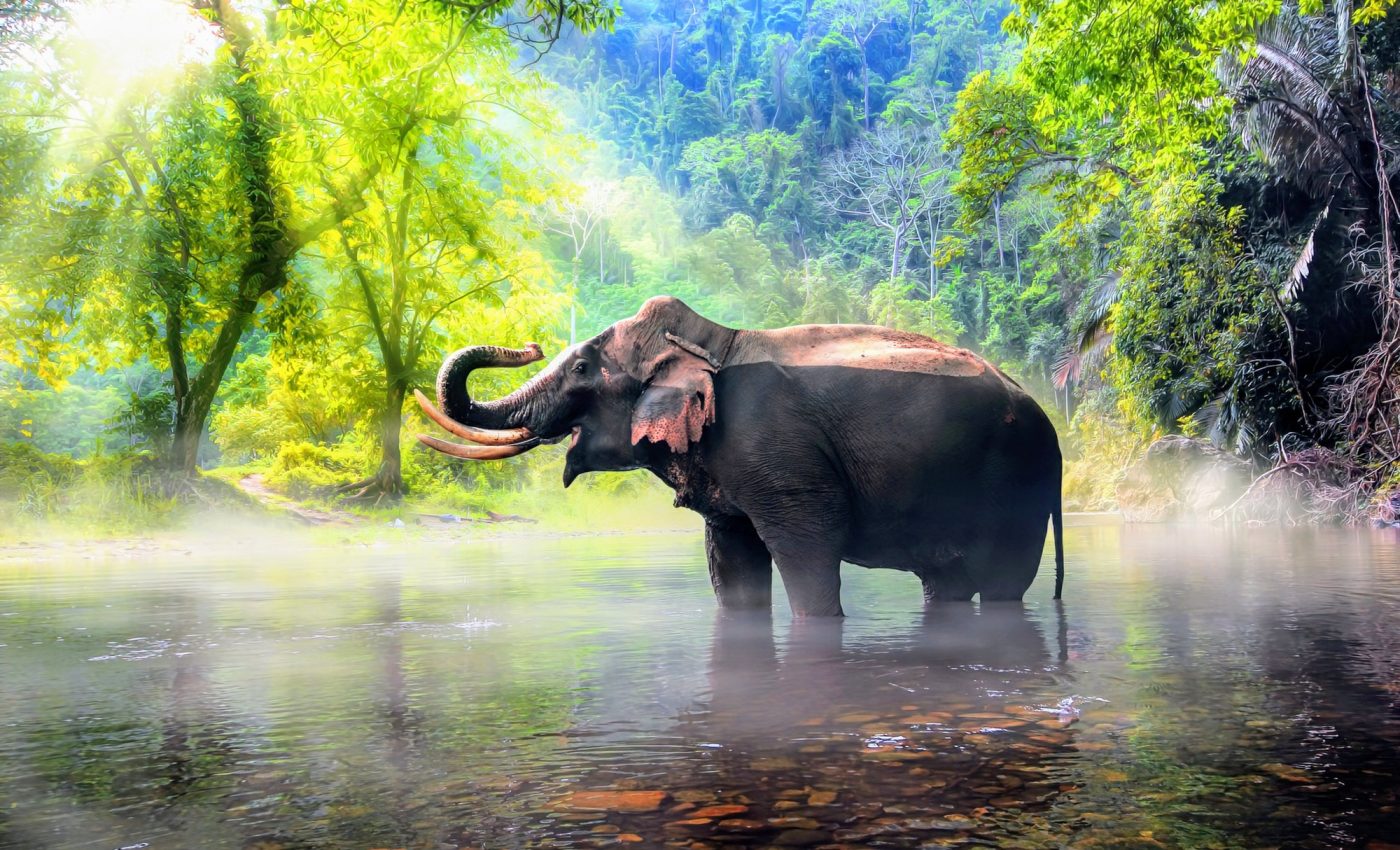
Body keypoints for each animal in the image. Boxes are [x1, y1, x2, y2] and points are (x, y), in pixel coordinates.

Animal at [415, 296, 1064, 616]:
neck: (712, 341)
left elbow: (807, 552)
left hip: (1020, 482)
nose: (528, 344)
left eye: (580, 368)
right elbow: (730, 560)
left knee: (1005, 583)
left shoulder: (779, 455)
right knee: (945, 582)